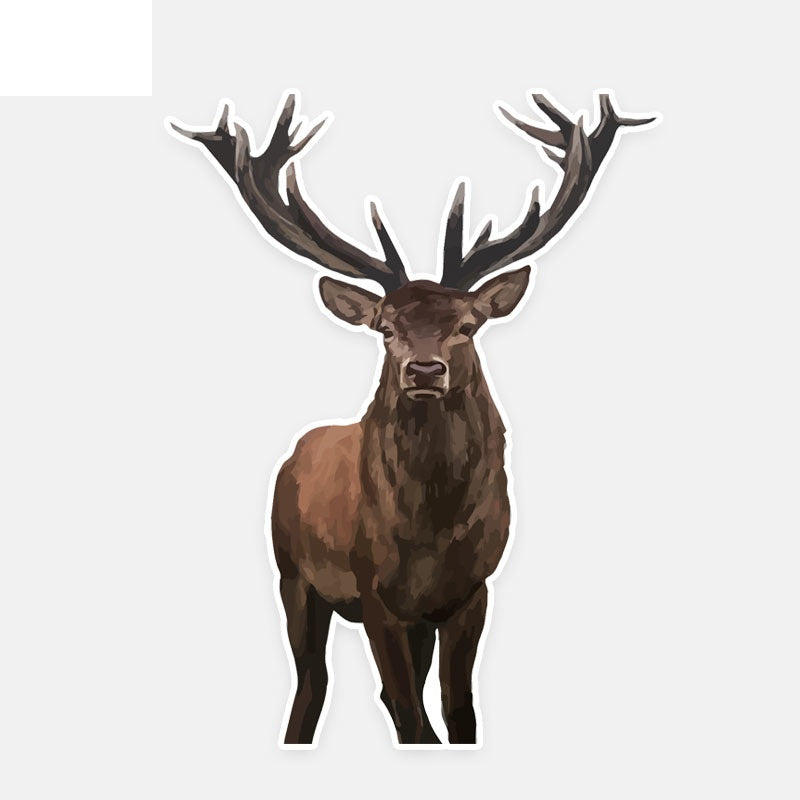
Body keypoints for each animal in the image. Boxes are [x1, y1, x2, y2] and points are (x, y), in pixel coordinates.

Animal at [168, 88, 658, 747]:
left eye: (468, 324)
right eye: (386, 328)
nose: (424, 370)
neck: (431, 530)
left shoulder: (472, 590)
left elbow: (457, 712)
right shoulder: (374, 593)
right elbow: (410, 717)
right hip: (292, 572)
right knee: (312, 680)